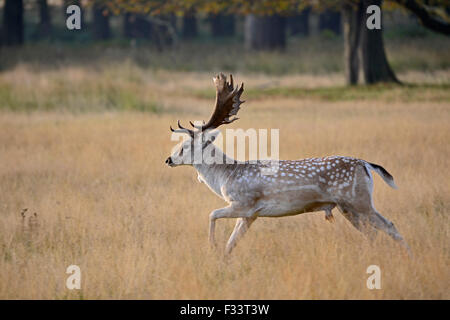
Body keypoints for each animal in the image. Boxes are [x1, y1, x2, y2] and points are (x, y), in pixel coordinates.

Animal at [163, 73, 410, 255]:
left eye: (186, 146)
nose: (168, 159)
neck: (226, 176)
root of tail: (367, 165)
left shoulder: (244, 203)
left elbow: (212, 214)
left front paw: (211, 246)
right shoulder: (250, 214)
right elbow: (231, 243)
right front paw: (222, 260)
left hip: (359, 200)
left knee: (389, 225)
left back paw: (409, 257)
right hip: (347, 207)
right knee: (373, 233)